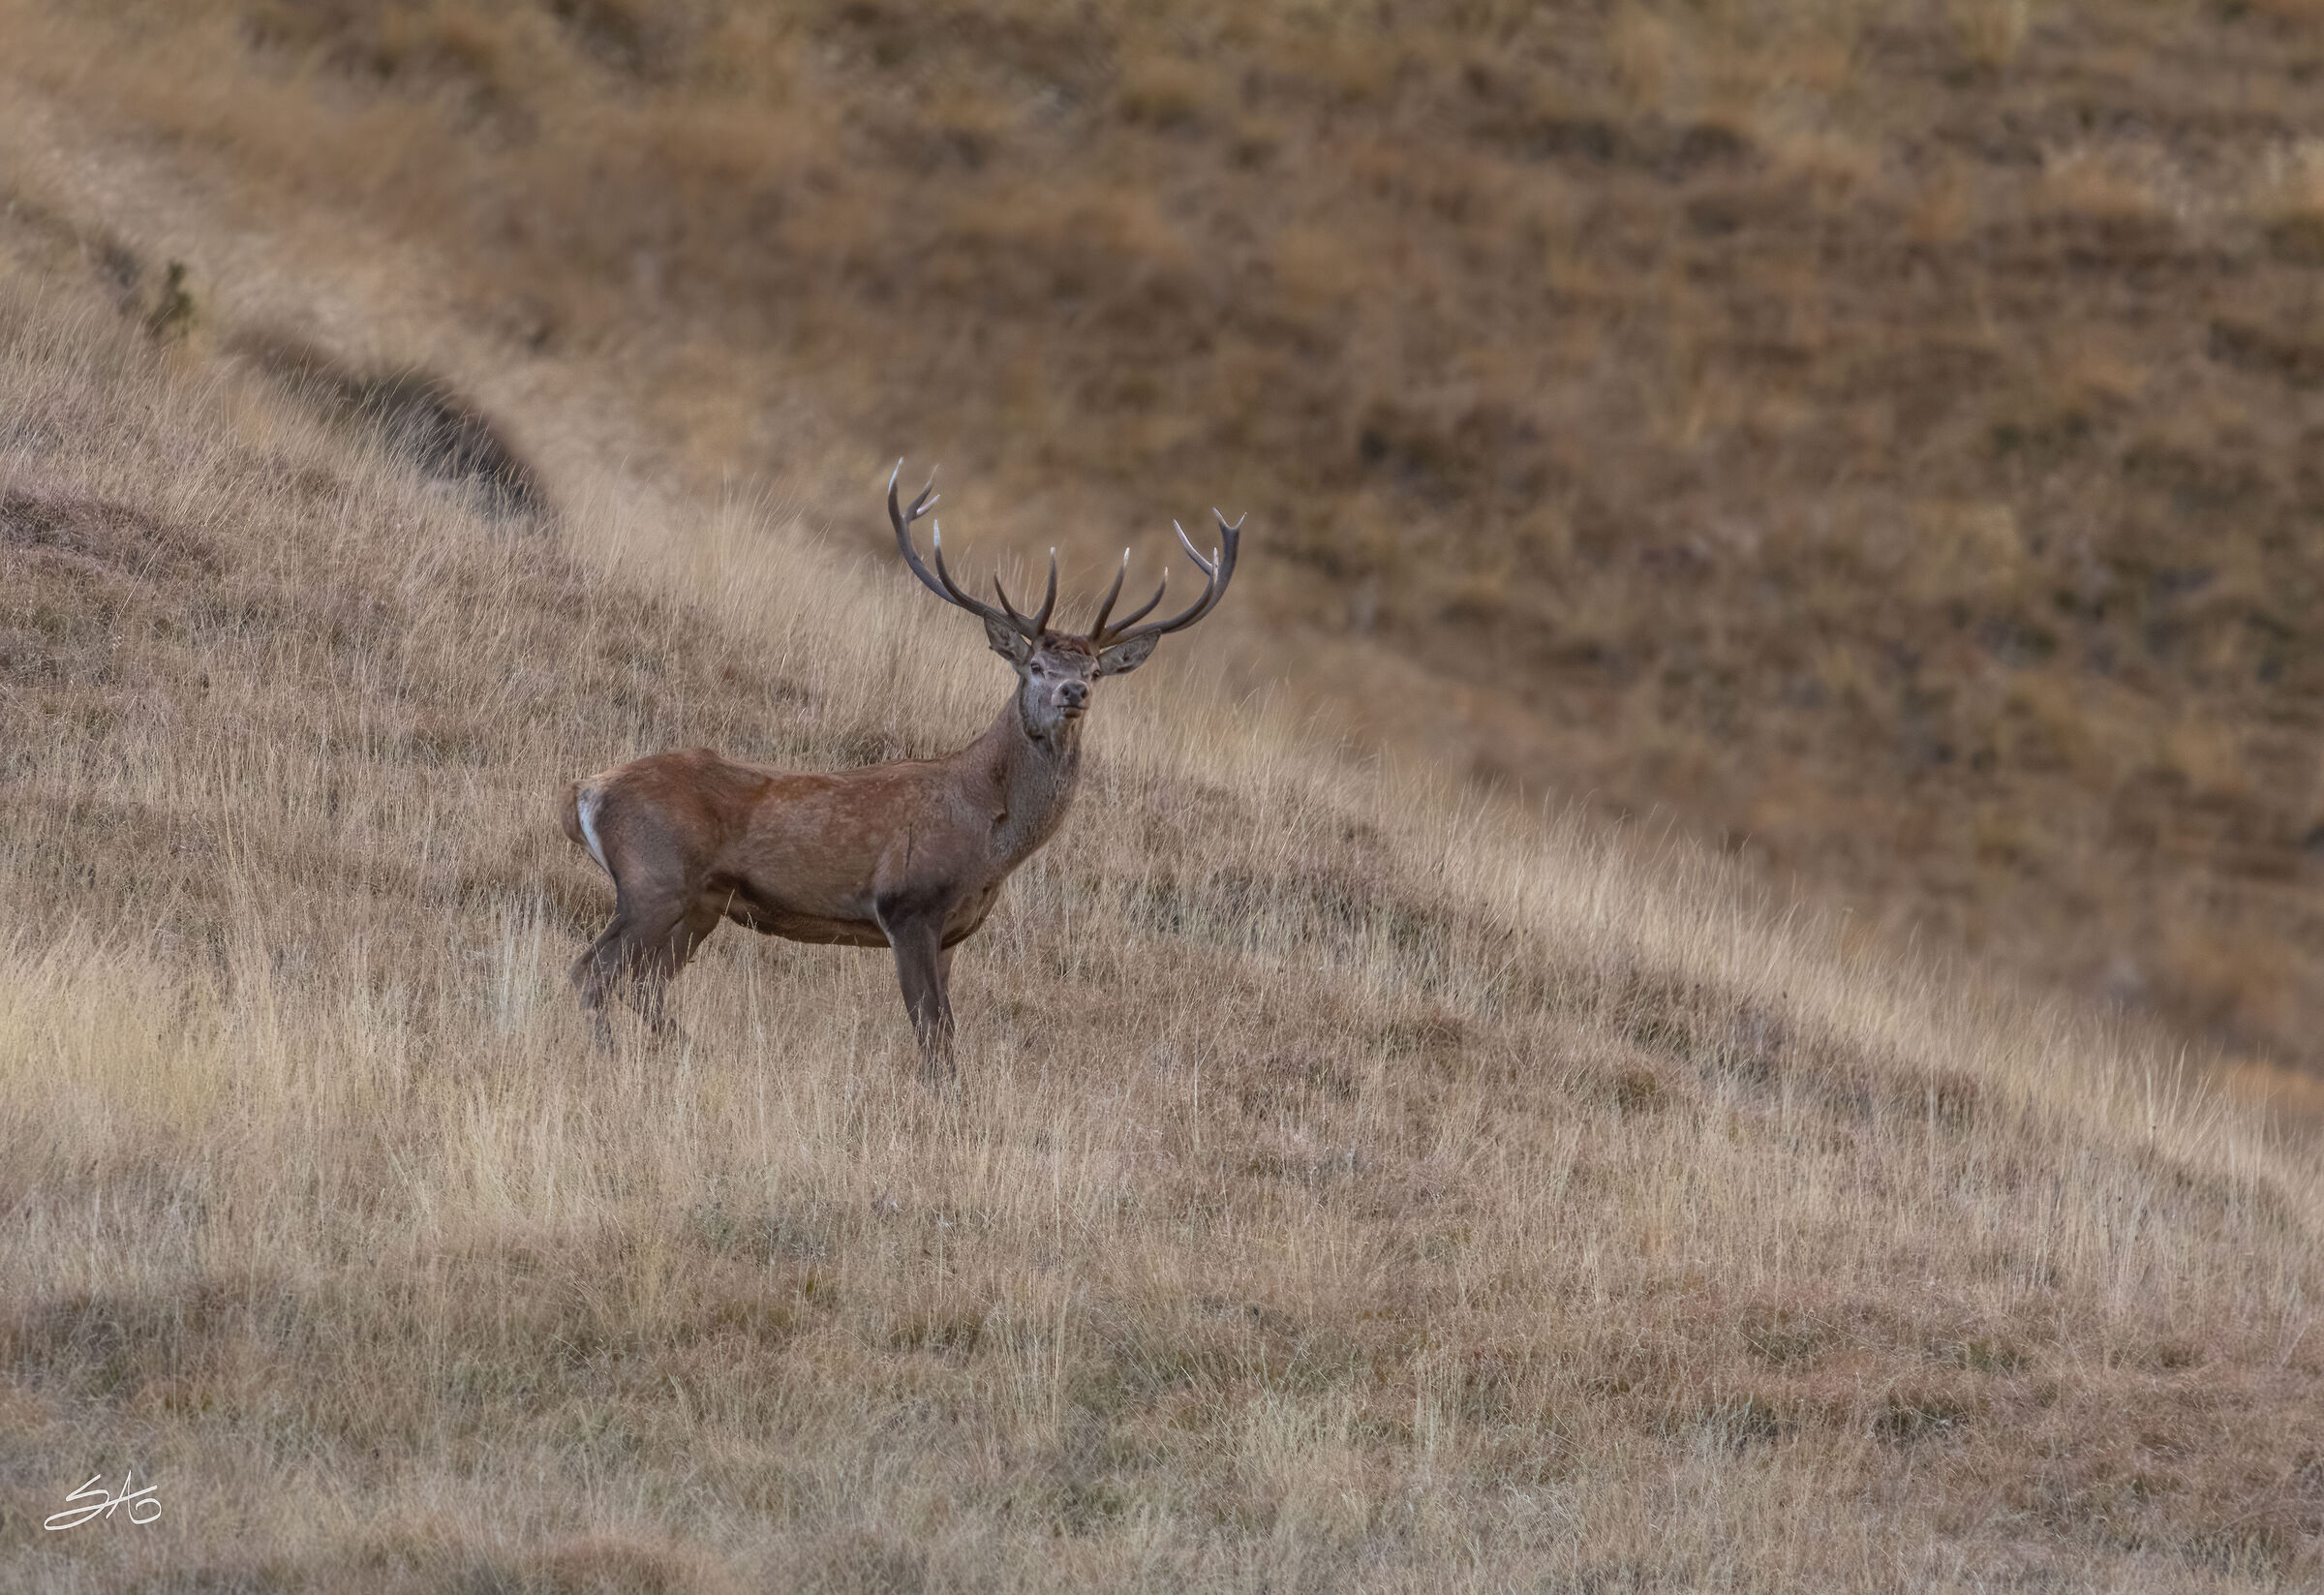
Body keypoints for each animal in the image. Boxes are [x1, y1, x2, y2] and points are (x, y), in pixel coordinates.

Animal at [558, 464, 1244, 1075]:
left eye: (1096, 671)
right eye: (1036, 667)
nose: (1073, 691)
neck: (988, 842)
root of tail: (585, 792)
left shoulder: (954, 933)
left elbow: (945, 1036)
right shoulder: (908, 907)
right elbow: (932, 1033)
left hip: (700, 905)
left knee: (640, 985)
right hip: (654, 880)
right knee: (590, 972)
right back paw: (608, 1060)